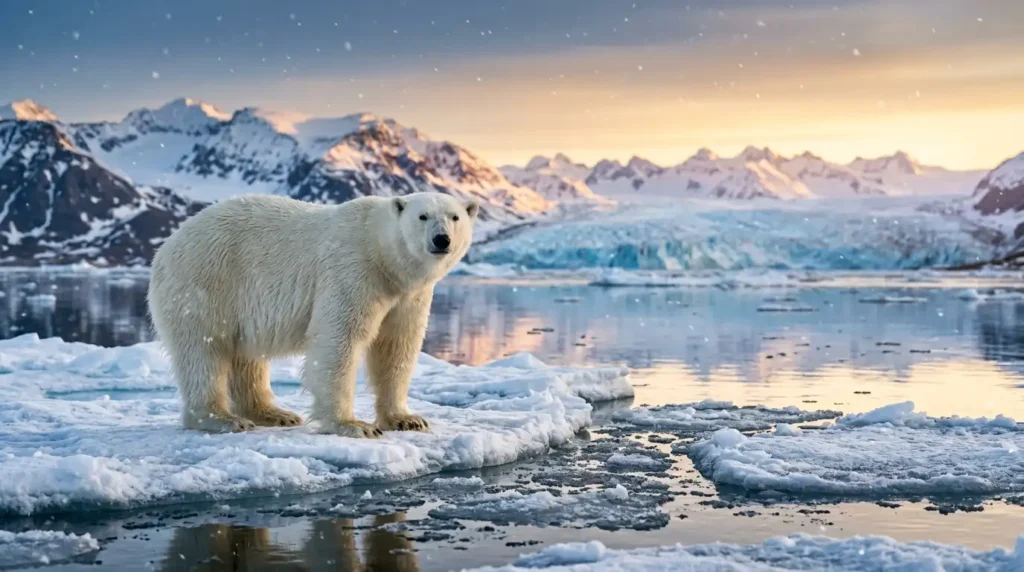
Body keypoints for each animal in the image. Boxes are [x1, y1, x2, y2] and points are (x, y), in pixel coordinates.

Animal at [147, 192, 477, 438]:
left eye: (455, 217)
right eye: (423, 216)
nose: (441, 239)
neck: (383, 255)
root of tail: (164, 249)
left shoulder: (407, 296)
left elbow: (396, 346)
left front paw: (407, 419)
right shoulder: (353, 269)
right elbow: (339, 340)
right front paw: (353, 425)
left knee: (247, 357)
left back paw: (274, 413)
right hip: (206, 281)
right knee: (205, 351)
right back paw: (222, 419)